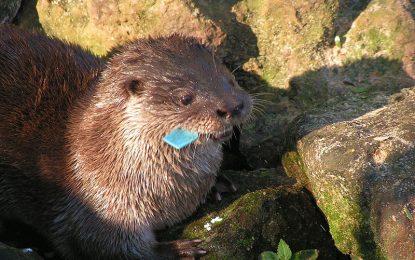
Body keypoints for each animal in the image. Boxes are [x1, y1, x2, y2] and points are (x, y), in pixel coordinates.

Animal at [0, 25, 254, 258]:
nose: (232, 106)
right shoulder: (97, 206)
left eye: (230, 80)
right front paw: (176, 250)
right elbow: (106, 246)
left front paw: (218, 184)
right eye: (184, 98)